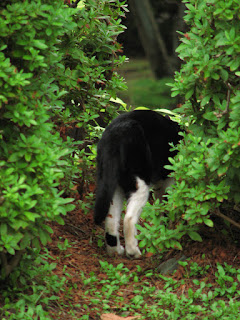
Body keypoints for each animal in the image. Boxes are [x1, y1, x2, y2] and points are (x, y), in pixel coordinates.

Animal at [94, 109, 182, 258]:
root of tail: (114, 135)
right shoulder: (169, 178)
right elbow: (166, 204)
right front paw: (165, 231)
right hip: (139, 182)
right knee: (129, 218)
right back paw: (133, 252)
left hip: (113, 183)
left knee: (111, 218)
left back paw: (116, 251)